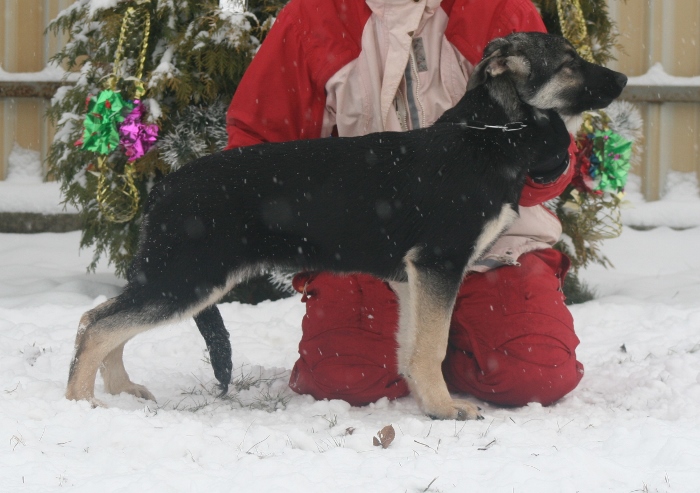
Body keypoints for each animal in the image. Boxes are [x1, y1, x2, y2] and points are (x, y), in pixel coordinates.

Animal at [64, 33, 624, 418]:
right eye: (570, 63)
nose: (621, 82)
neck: (491, 132)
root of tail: (162, 189)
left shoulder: (415, 281)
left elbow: (414, 348)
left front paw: (428, 405)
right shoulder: (439, 266)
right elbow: (433, 346)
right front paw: (446, 411)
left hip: (178, 281)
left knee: (98, 319)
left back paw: (120, 391)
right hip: (186, 281)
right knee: (98, 325)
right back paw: (81, 405)